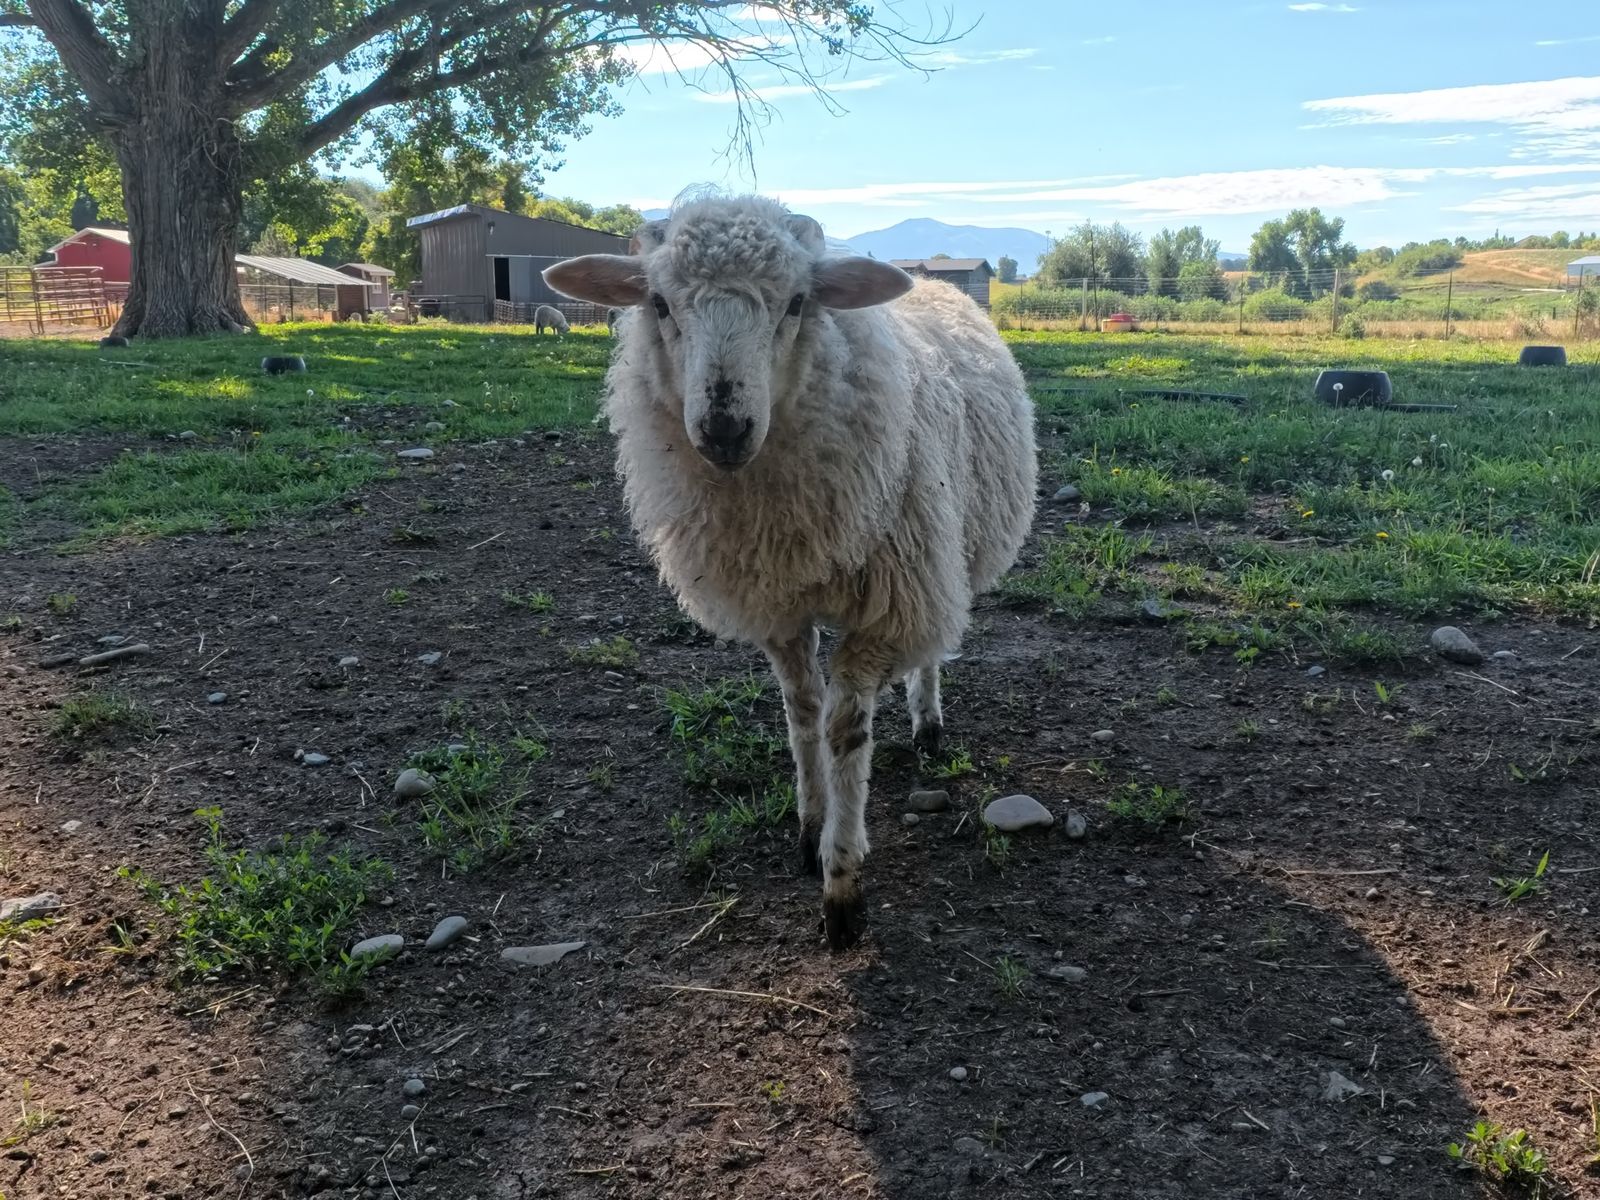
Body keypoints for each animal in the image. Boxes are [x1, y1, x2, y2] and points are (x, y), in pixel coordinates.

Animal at [543, 195, 1036, 950]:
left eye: (799, 302)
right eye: (658, 303)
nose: (724, 426)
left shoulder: (884, 607)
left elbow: (845, 731)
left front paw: (842, 882)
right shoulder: (777, 607)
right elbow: (801, 713)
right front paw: (810, 828)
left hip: (934, 556)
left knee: (932, 643)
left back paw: (927, 720)